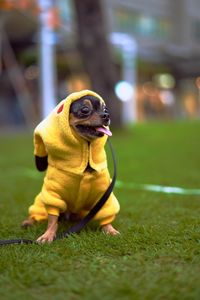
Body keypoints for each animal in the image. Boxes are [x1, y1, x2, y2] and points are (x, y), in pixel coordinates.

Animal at [21, 90, 119, 243]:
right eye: (85, 110)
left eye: (106, 109)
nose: (106, 116)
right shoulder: (53, 194)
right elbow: (52, 219)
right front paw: (48, 235)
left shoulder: (103, 195)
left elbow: (106, 215)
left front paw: (110, 229)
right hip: (41, 200)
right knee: (38, 214)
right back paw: (29, 221)